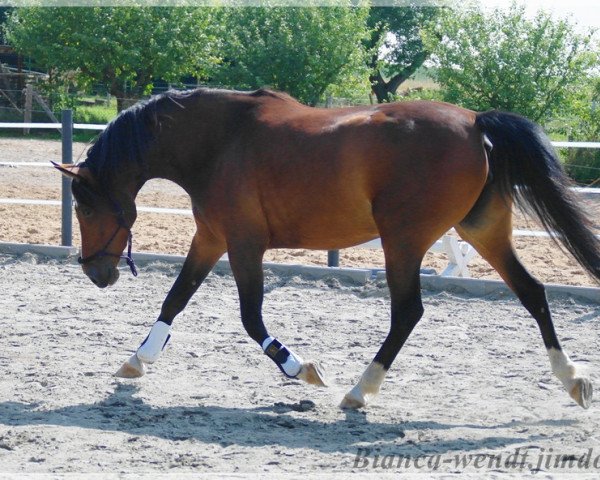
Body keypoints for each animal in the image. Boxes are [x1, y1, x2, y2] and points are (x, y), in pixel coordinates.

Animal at [54, 87, 596, 408]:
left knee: (408, 312)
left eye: (84, 206)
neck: (219, 142)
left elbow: (250, 319)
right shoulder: (210, 238)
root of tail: (477, 122)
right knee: (533, 292)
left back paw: (360, 389)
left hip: (403, 239)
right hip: (482, 230)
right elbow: (175, 299)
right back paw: (572, 378)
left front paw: (302, 368)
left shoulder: (245, 244)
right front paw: (136, 361)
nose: (94, 273)